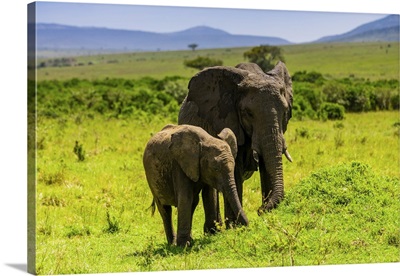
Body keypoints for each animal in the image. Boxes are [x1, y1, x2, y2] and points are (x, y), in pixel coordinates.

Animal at [178, 61, 294, 232]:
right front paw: (235, 226)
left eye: (285, 111)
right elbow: (235, 170)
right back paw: (213, 230)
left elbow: (266, 165)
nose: (260, 210)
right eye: (248, 113)